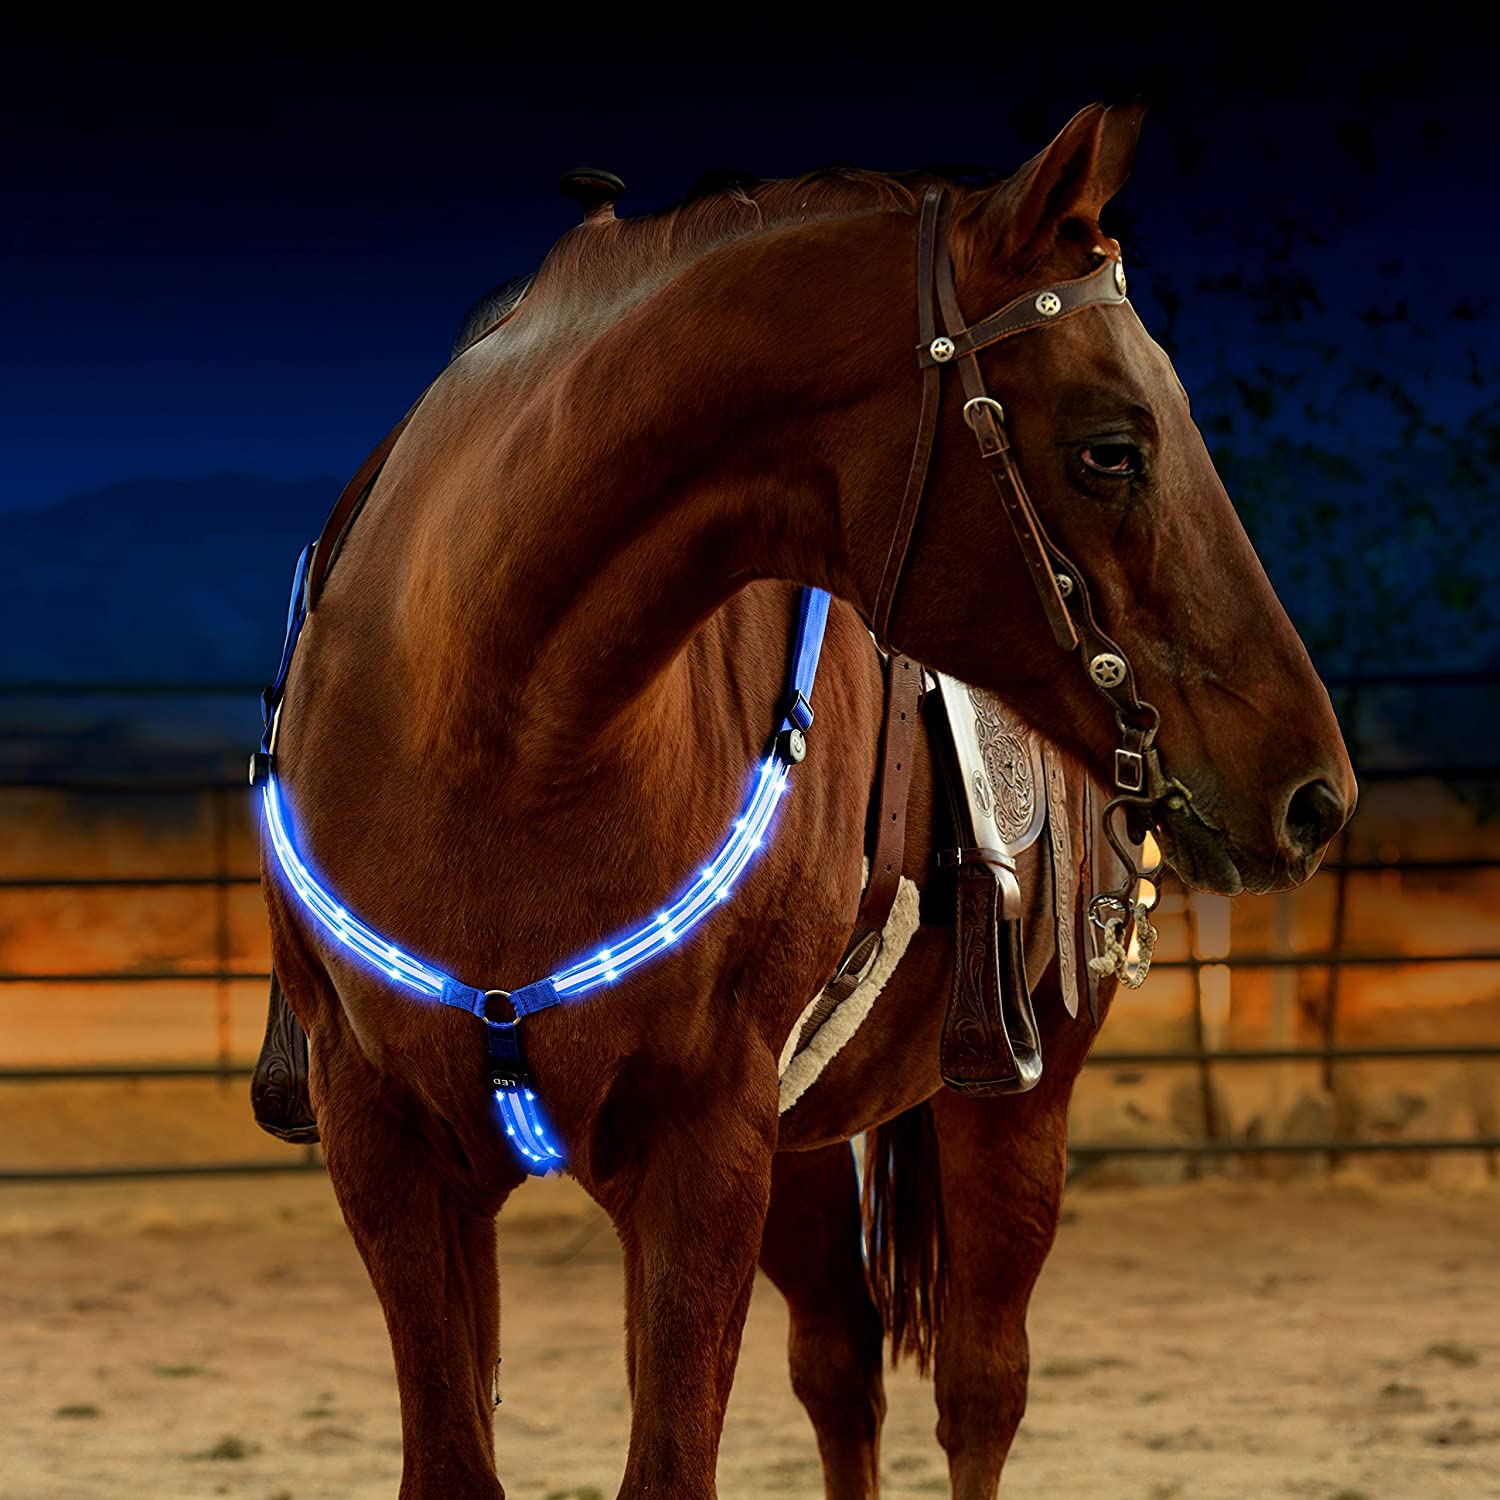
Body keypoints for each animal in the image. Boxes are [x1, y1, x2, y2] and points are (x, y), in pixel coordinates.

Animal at [257, 101, 1355, 1498]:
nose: (1314, 794)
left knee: (980, 1390)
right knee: (842, 1368)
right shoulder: (390, 1147)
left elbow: (674, 1461)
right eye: (1112, 449)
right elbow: (462, 1460)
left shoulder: (702, 1147)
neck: (492, 734)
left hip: (1011, 1103)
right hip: (803, 1146)